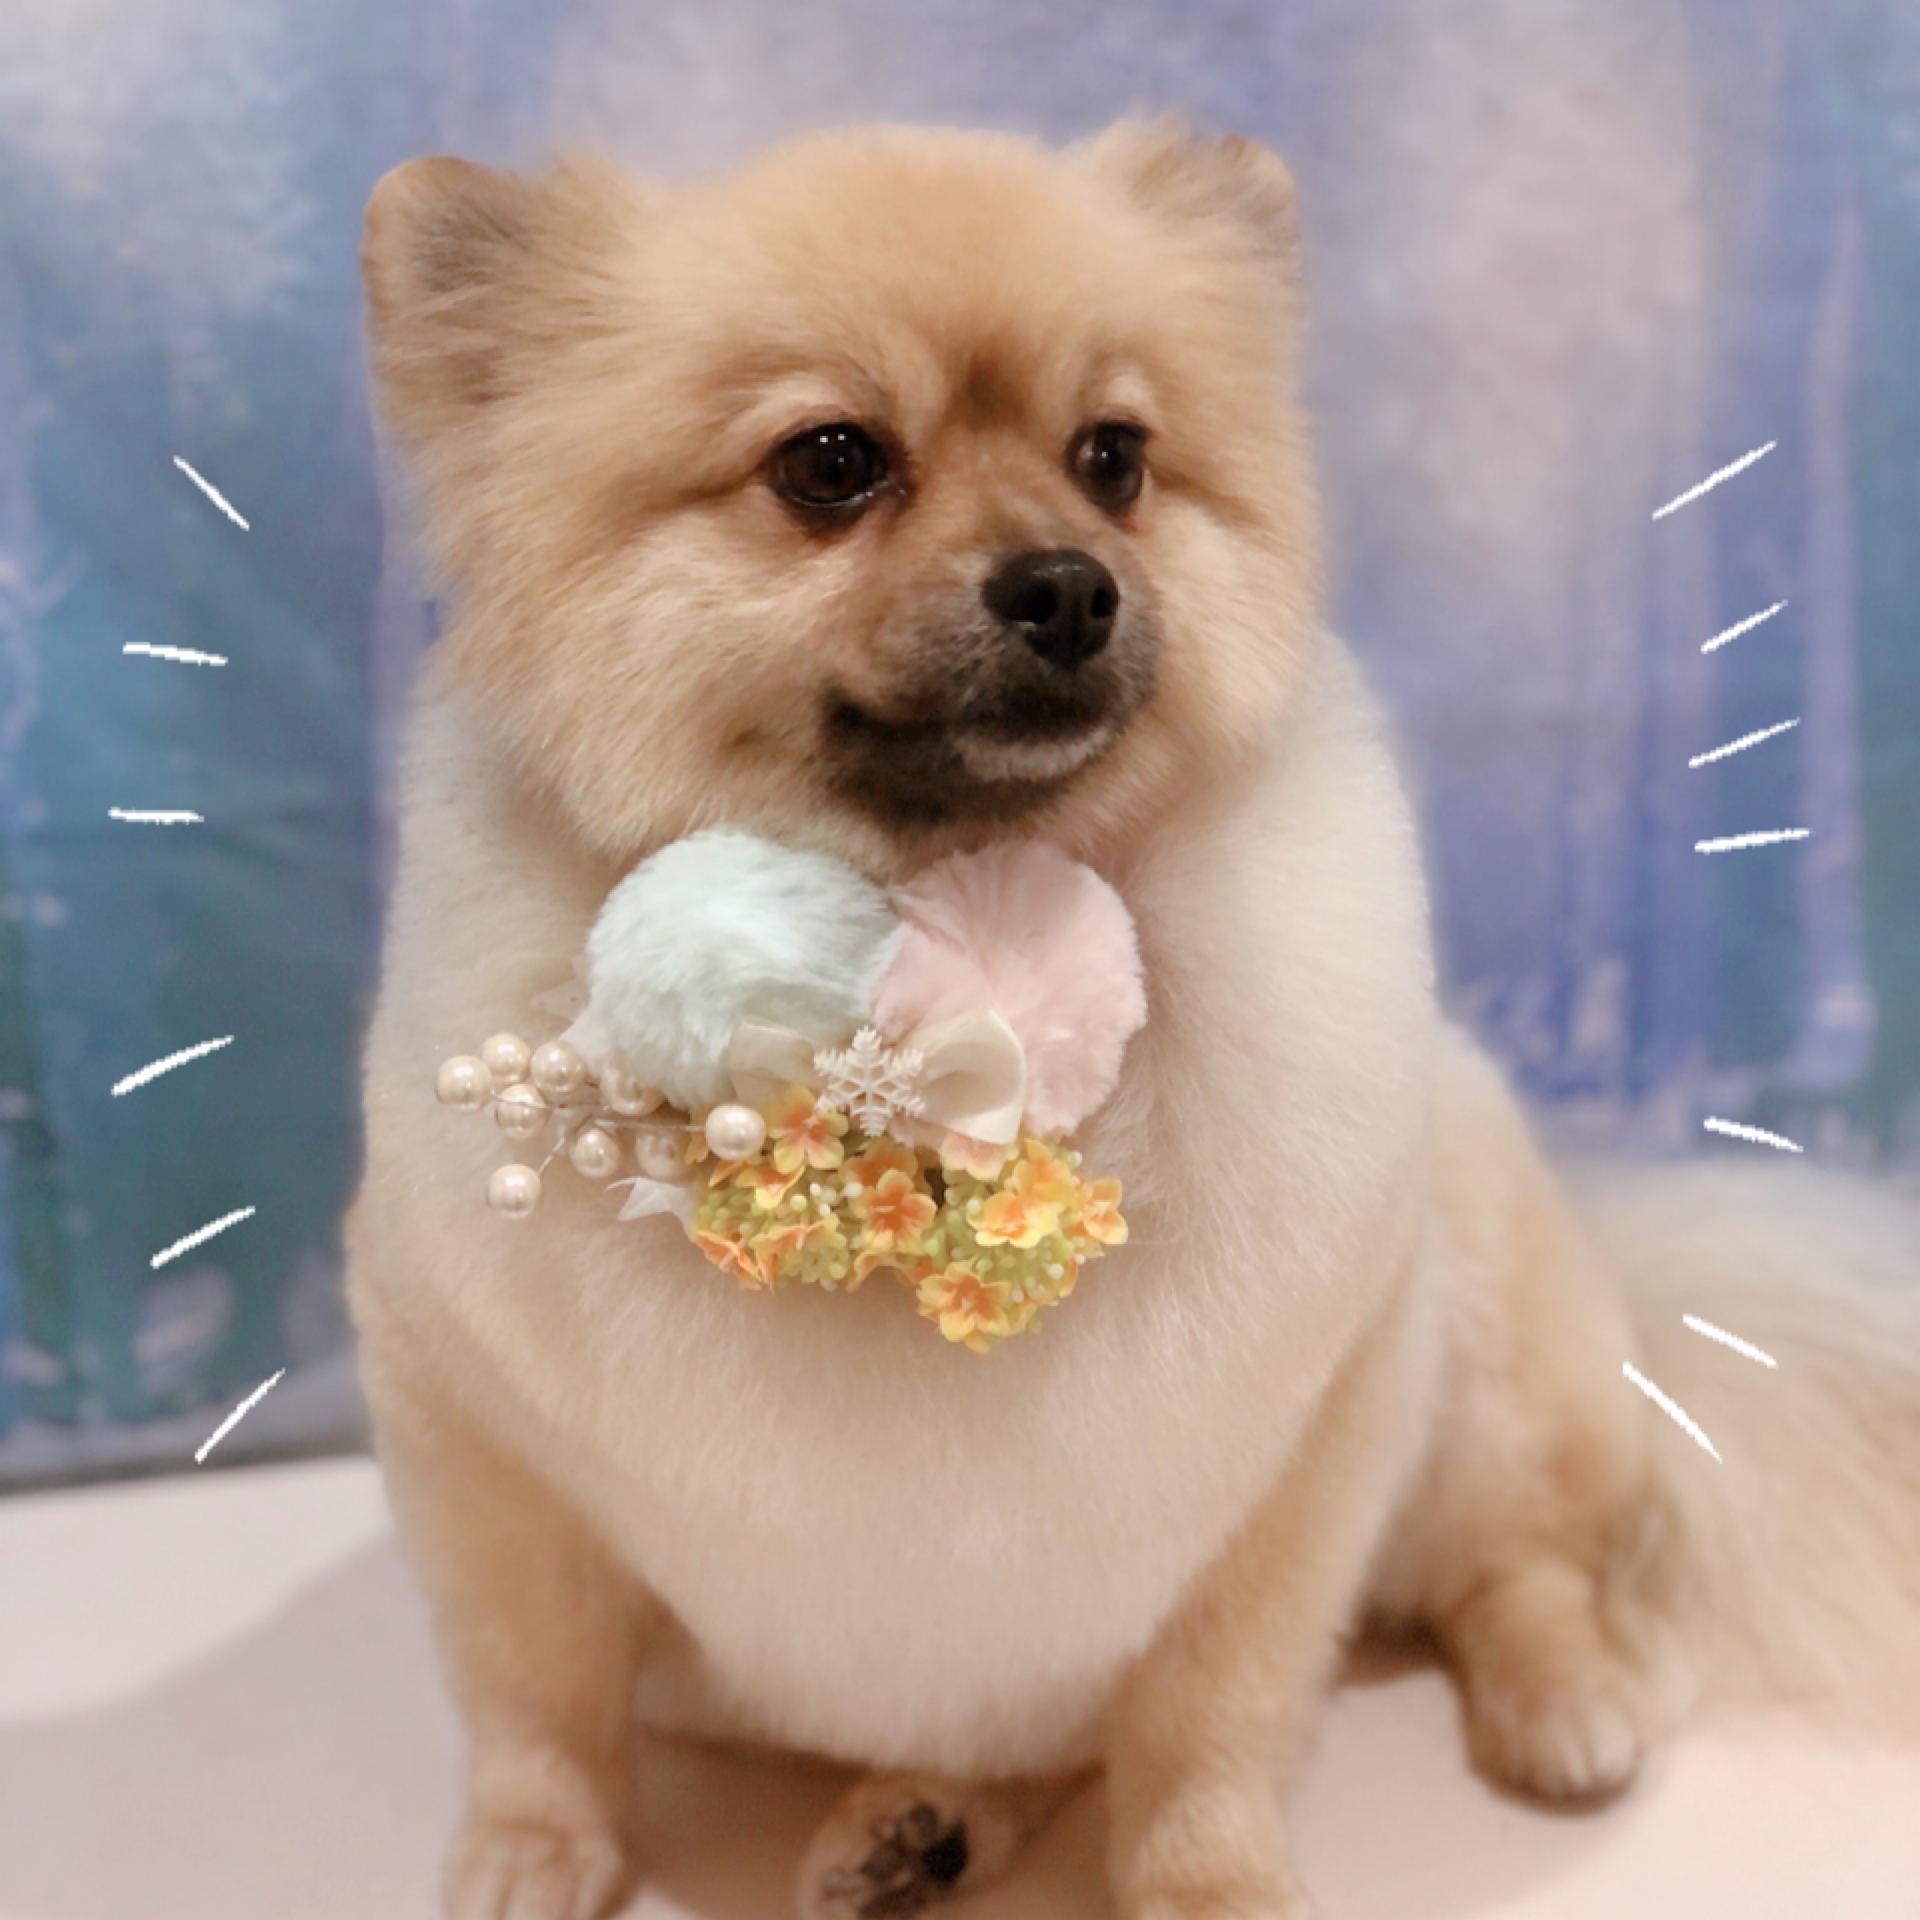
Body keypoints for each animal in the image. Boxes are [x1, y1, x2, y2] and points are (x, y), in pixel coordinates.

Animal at [350, 121, 1920, 1919]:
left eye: (1115, 456)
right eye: (831, 461)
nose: (1068, 587)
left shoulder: (1292, 1456)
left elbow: (1200, 1733)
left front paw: (1210, 1887)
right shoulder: (475, 1435)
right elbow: (533, 1691)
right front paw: (532, 1847)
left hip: (1483, 1374)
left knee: (1517, 1563)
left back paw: (1560, 1703)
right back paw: (915, 1829)